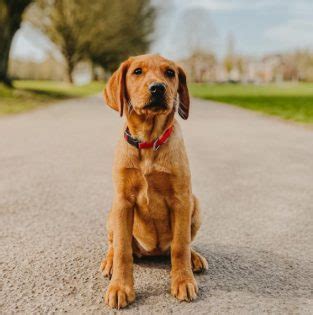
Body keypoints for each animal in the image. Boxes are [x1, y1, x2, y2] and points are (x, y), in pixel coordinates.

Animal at [100, 53, 207, 308]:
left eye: (170, 73)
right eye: (137, 72)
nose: (158, 88)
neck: (149, 142)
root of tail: (153, 252)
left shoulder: (181, 200)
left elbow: (180, 245)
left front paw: (183, 280)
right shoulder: (123, 201)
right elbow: (122, 250)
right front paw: (120, 287)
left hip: (196, 205)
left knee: (182, 244)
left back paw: (194, 258)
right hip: (112, 212)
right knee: (114, 244)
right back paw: (109, 262)